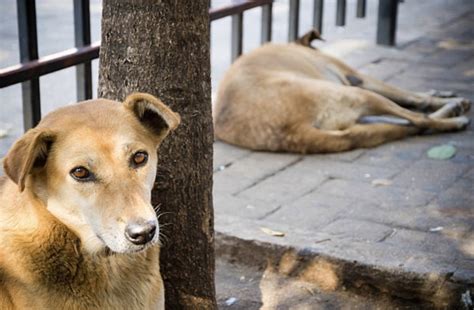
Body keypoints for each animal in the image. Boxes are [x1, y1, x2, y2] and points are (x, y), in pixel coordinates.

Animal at [215, 29, 470, 153]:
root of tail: (293, 131)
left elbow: (415, 95)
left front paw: (442, 93)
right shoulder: (356, 77)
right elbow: (410, 95)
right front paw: (448, 98)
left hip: (353, 118)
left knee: (408, 125)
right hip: (356, 94)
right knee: (419, 119)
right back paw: (454, 118)